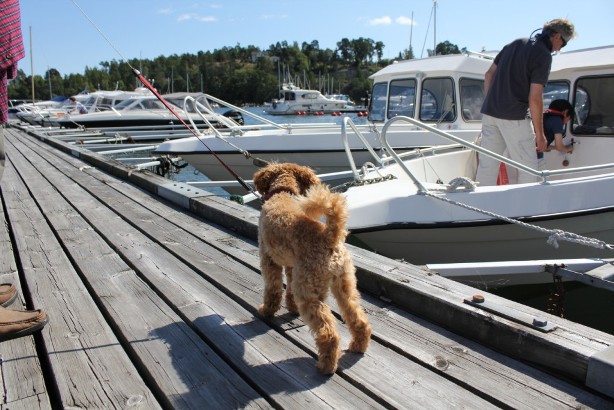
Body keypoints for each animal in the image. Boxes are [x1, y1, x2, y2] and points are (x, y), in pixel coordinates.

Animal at [254, 162, 372, 374]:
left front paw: (266, 310)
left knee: (329, 333)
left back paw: (325, 366)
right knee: (358, 318)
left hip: (309, 290)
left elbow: (273, 290)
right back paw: (358, 346)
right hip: (345, 284)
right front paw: (291, 308)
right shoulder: (292, 266)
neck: (283, 192)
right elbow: (288, 290)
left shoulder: (268, 259)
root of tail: (329, 237)